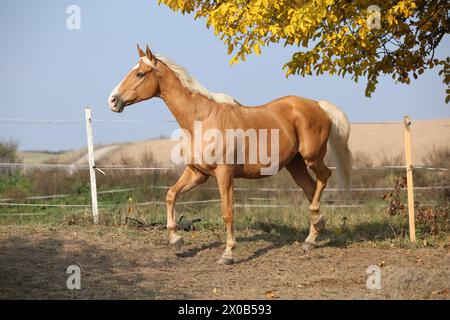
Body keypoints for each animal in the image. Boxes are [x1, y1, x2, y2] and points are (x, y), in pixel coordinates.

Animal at [109, 45, 352, 264]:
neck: (202, 119)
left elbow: (227, 211)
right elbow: (171, 195)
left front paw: (228, 254)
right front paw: (176, 241)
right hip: (295, 165)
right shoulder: (197, 173)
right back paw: (311, 238)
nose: (113, 100)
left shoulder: (224, 174)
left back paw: (315, 225)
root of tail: (318, 105)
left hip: (311, 157)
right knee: (311, 189)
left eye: (140, 73)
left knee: (324, 177)